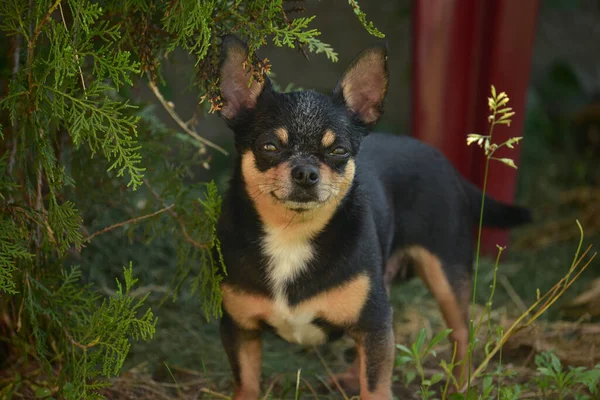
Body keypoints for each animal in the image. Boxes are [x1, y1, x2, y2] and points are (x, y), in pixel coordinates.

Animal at [214, 35, 528, 400]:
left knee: (461, 333)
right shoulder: (240, 330)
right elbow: (247, 383)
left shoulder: (375, 322)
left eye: (338, 151)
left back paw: (459, 387)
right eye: (269, 147)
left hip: (446, 274)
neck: (291, 234)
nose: (306, 172)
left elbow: (376, 385)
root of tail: (447, 166)